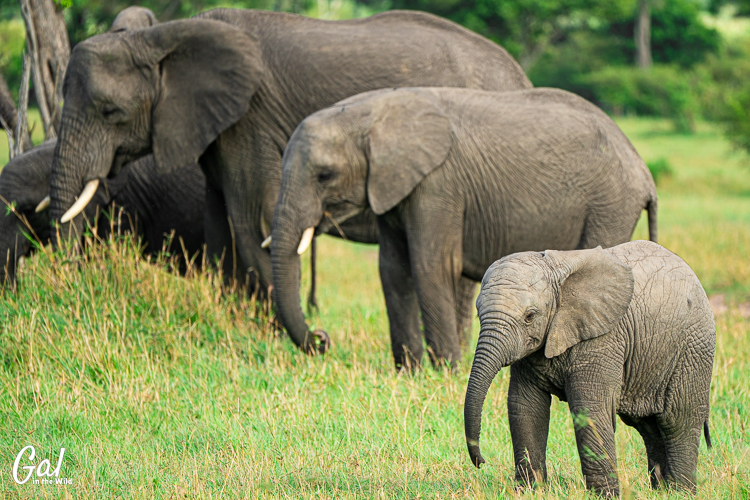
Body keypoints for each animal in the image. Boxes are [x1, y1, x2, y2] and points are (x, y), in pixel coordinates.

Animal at [46, 8, 533, 354]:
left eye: (109, 111)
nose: (323, 338)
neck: (164, 35)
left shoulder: (251, 121)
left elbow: (252, 224)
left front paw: (278, 342)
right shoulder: (217, 131)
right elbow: (221, 228)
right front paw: (240, 331)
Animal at [270, 87, 658, 369]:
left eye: (324, 175)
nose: (322, 339)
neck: (372, 109)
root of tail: (644, 171)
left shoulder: (439, 183)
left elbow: (430, 267)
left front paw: (446, 371)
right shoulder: (392, 187)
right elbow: (393, 269)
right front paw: (409, 372)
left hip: (610, 204)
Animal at [464, 241, 715, 497]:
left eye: (529, 316)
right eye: (478, 313)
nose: (481, 462)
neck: (556, 272)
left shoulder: (602, 339)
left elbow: (590, 409)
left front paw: (605, 496)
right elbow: (525, 407)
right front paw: (528, 492)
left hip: (692, 348)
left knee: (678, 420)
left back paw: (680, 492)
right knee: (648, 426)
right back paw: (660, 491)